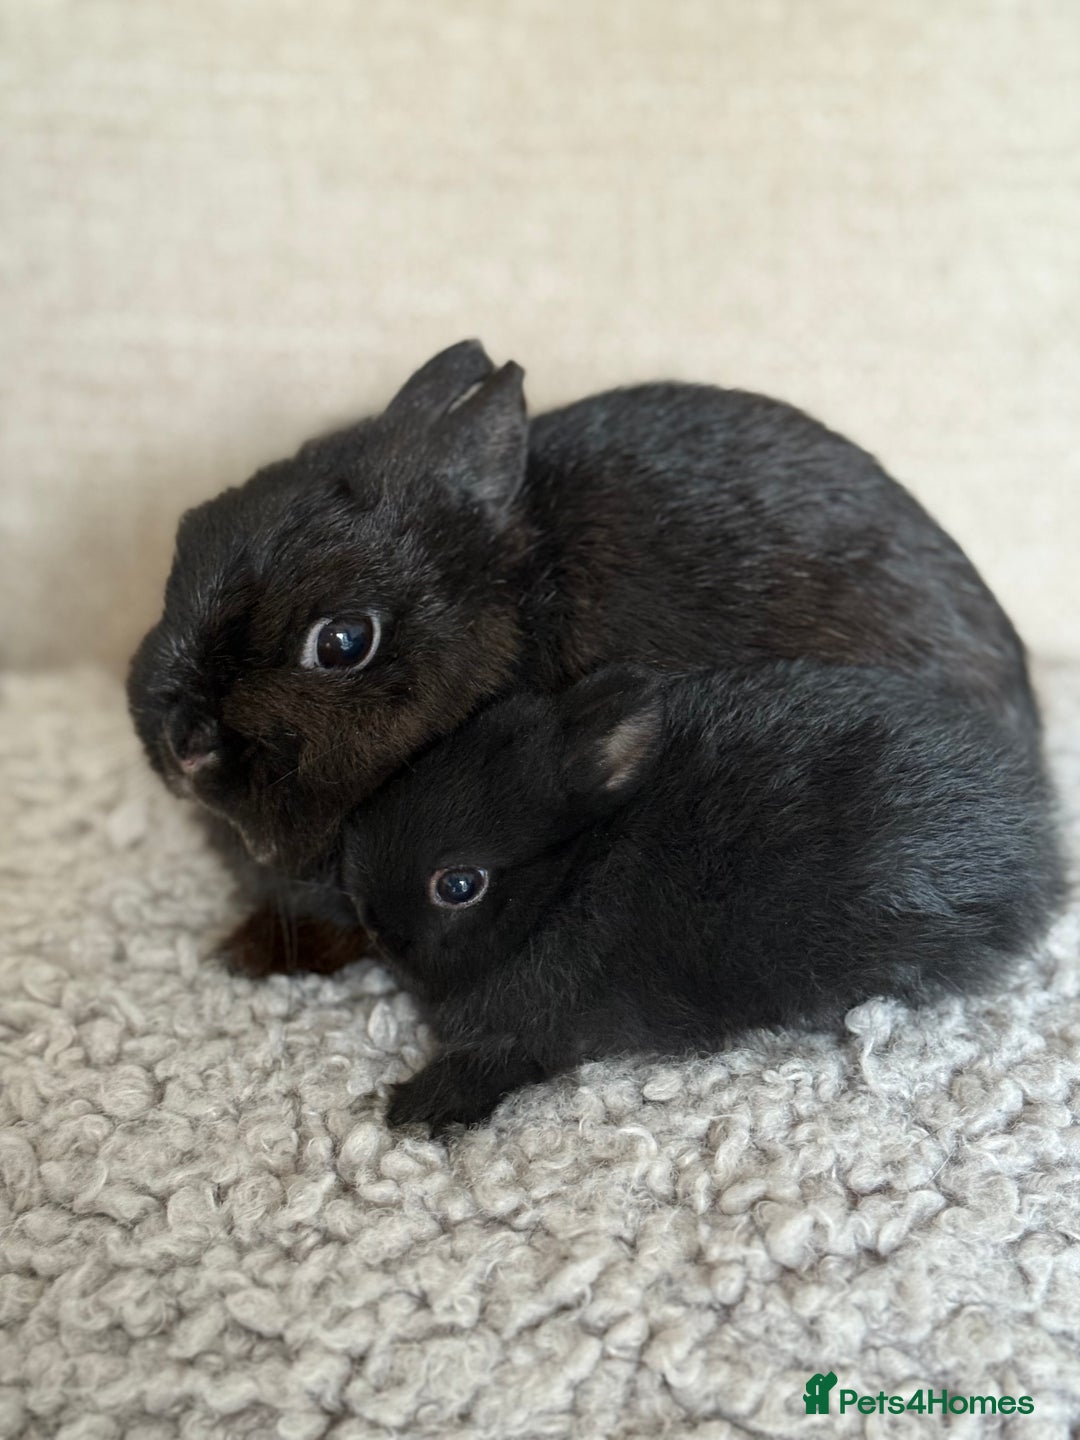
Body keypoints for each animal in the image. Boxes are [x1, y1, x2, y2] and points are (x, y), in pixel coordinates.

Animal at [340, 662, 1066, 1133]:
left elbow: (497, 1061)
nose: (374, 927)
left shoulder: (535, 1027)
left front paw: (415, 1107)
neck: (566, 882)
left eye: (458, 885)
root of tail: (1036, 847)